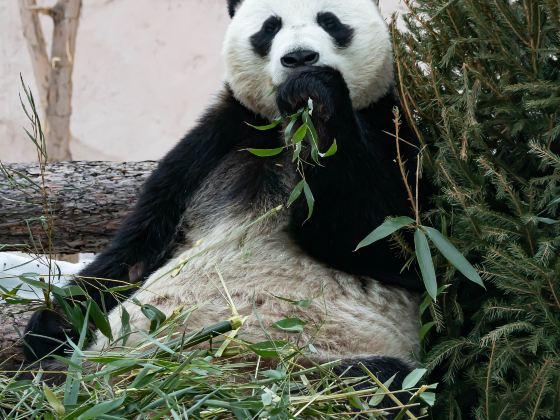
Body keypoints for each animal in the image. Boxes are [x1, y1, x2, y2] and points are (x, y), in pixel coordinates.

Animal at [24, 0, 422, 400]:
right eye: (270, 27)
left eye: (329, 21)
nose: (299, 58)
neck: (282, 127)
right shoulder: (215, 142)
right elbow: (136, 249)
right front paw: (56, 320)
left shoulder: (394, 129)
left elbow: (389, 241)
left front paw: (315, 95)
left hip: (326, 359)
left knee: (381, 384)